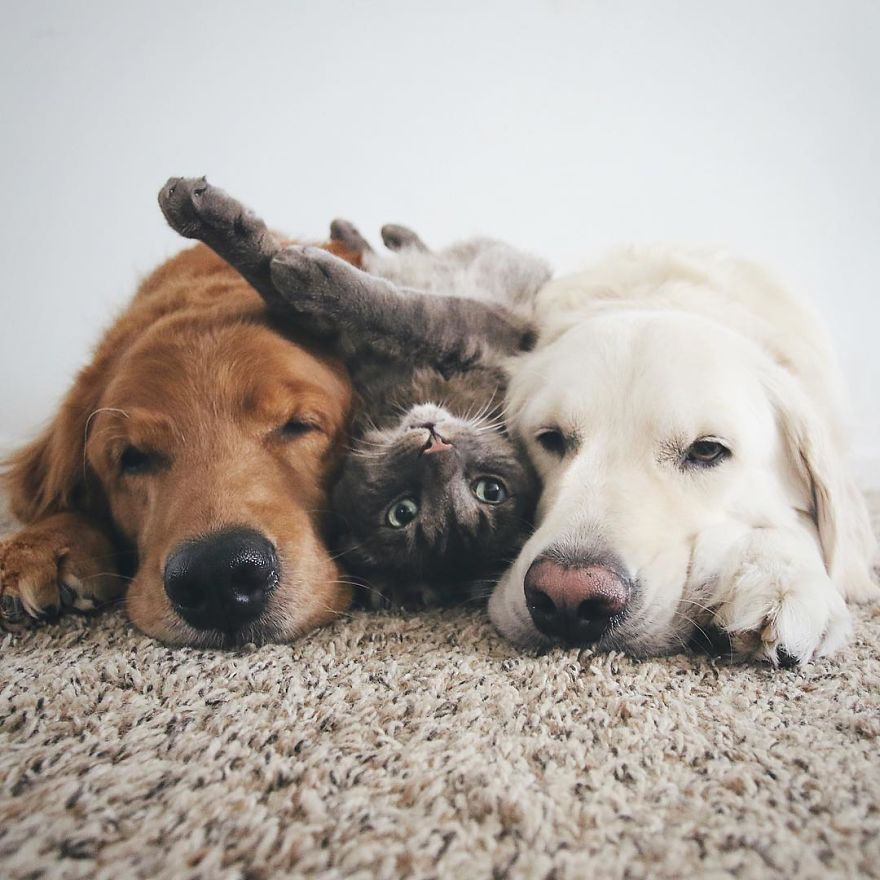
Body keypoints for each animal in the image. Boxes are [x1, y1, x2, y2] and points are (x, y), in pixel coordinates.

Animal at [155, 177, 548, 604]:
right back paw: (371, 232)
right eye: (491, 490)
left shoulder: (487, 330)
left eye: (403, 512)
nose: (436, 446)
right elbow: (266, 272)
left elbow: (413, 315)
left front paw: (308, 272)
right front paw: (201, 211)